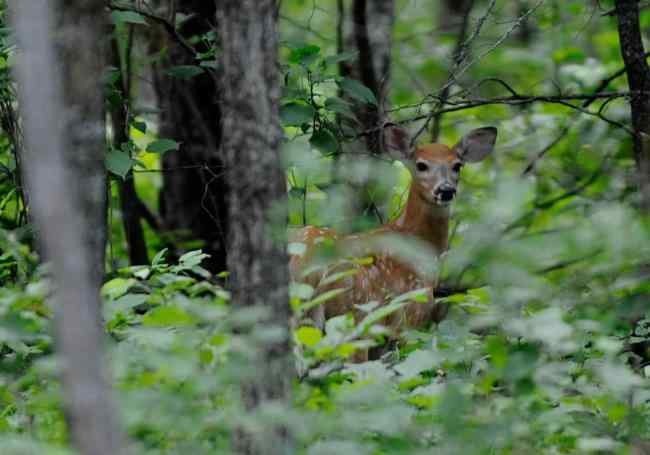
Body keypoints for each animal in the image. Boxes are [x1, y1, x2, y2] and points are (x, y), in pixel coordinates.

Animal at [288, 122, 496, 364]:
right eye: (421, 165)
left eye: (457, 166)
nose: (445, 190)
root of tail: (305, 266)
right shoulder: (410, 316)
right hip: (353, 320)